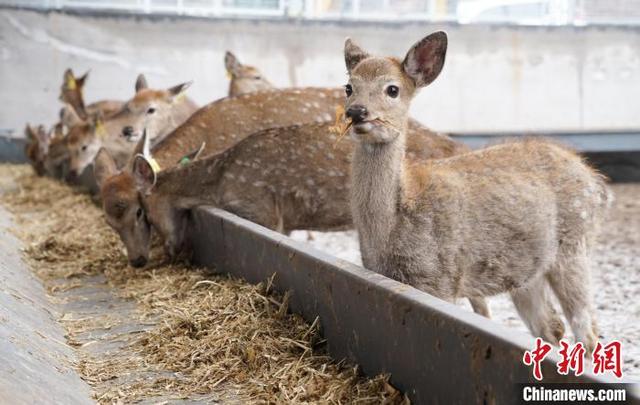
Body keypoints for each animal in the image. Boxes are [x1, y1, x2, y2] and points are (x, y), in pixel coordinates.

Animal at [342, 30, 612, 348]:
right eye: (349, 87)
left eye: (392, 89)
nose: (356, 111)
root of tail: (596, 182)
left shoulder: (440, 279)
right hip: (527, 271)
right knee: (550, 327)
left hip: (574, 245)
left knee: (587, 329)